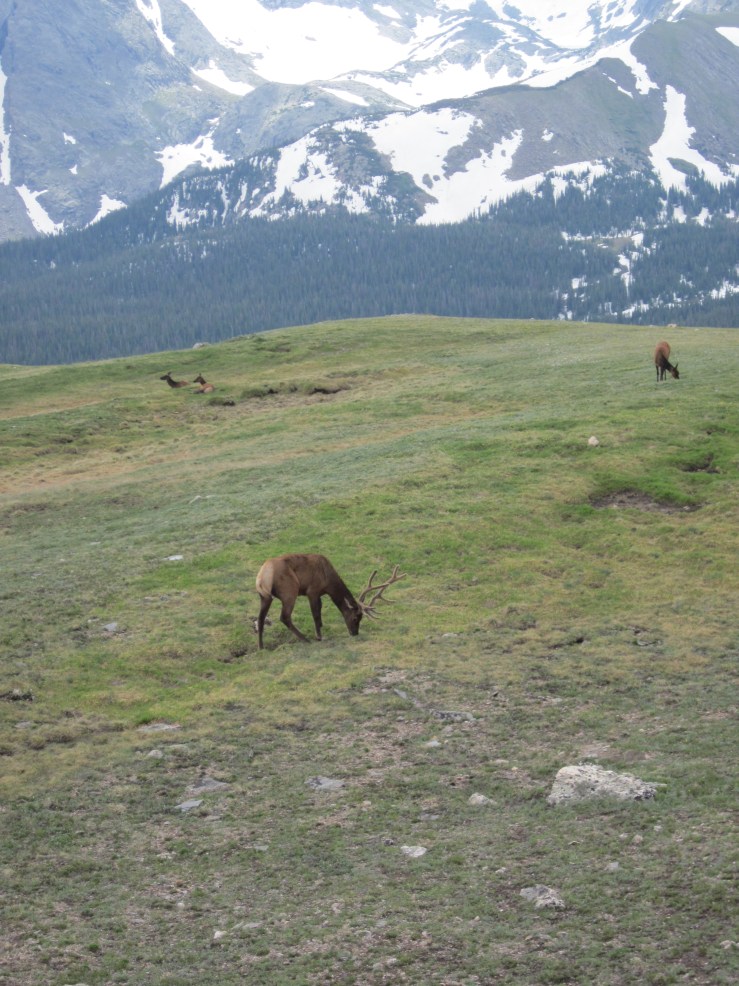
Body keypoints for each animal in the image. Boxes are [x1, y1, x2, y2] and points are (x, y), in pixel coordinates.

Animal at [255, 554, 405, 649]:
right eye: (356, 617)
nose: (355, 633)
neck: (328, 582)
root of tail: (262, 576)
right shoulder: (312, 590)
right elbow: (315, 614)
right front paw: (319, 636)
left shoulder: (319, 593)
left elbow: (320, 611)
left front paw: (322, 629)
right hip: (289, 591)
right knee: (284, 617)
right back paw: (306, 640)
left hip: (265, 596)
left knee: (261, 618)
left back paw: (261, 646)